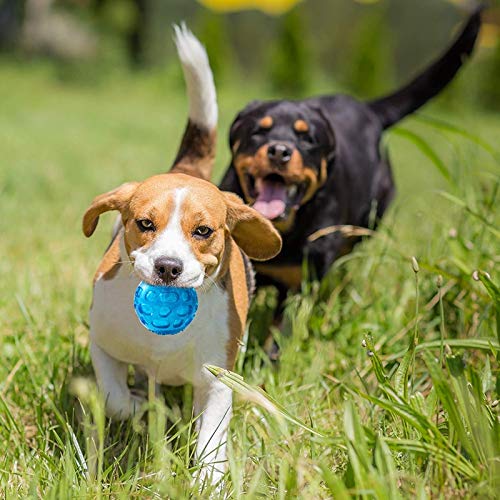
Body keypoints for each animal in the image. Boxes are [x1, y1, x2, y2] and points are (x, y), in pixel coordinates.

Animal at [84, 26, 284, 484]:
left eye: (203, 231)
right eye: (144, 223)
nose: (168, 268)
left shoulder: (216, 380)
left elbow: (211, 435)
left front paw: (209, 480)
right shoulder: (102, 342)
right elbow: (114, 397)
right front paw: (137, 404)